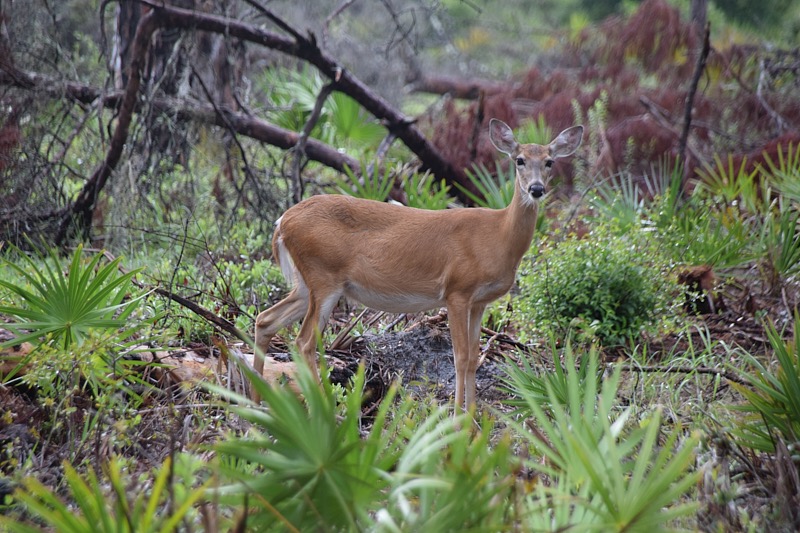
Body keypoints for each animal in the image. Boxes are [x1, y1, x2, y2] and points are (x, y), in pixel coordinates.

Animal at [253, 119, 584, 412]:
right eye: (519, 160)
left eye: (550, 162)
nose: (536, 189)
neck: (498, 236)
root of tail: (282, 221)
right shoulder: (457, 291)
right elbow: (460, 357)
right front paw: (457, 421)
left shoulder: (480, 302)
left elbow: (474, 358)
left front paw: (473, 419)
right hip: (324, 277)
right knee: (304, 341)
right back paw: (323, 409)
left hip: (305, 283)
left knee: (265, 319)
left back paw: (256, 403)